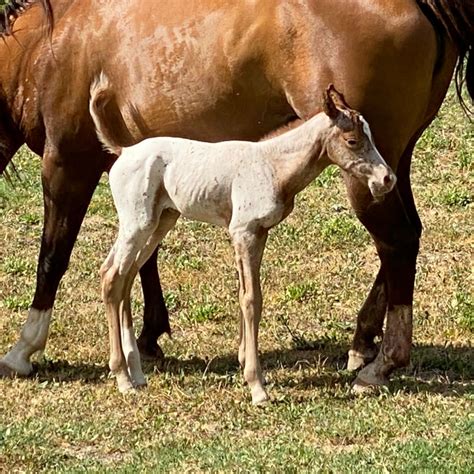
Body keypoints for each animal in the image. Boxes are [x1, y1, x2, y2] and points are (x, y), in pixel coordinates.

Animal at [89, 77, 396, 404]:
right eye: (352, 141)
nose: (387, 179)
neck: (273, 166)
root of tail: (124, 150)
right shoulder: (244, 232)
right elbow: (251, 299)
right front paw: (256, 386)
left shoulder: (258, 234)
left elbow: (245, 294)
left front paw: (245, 366)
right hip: (138, 223)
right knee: (111, 276)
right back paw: (122, 377)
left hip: (160, 222)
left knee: (124, 276)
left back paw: (136, 375)